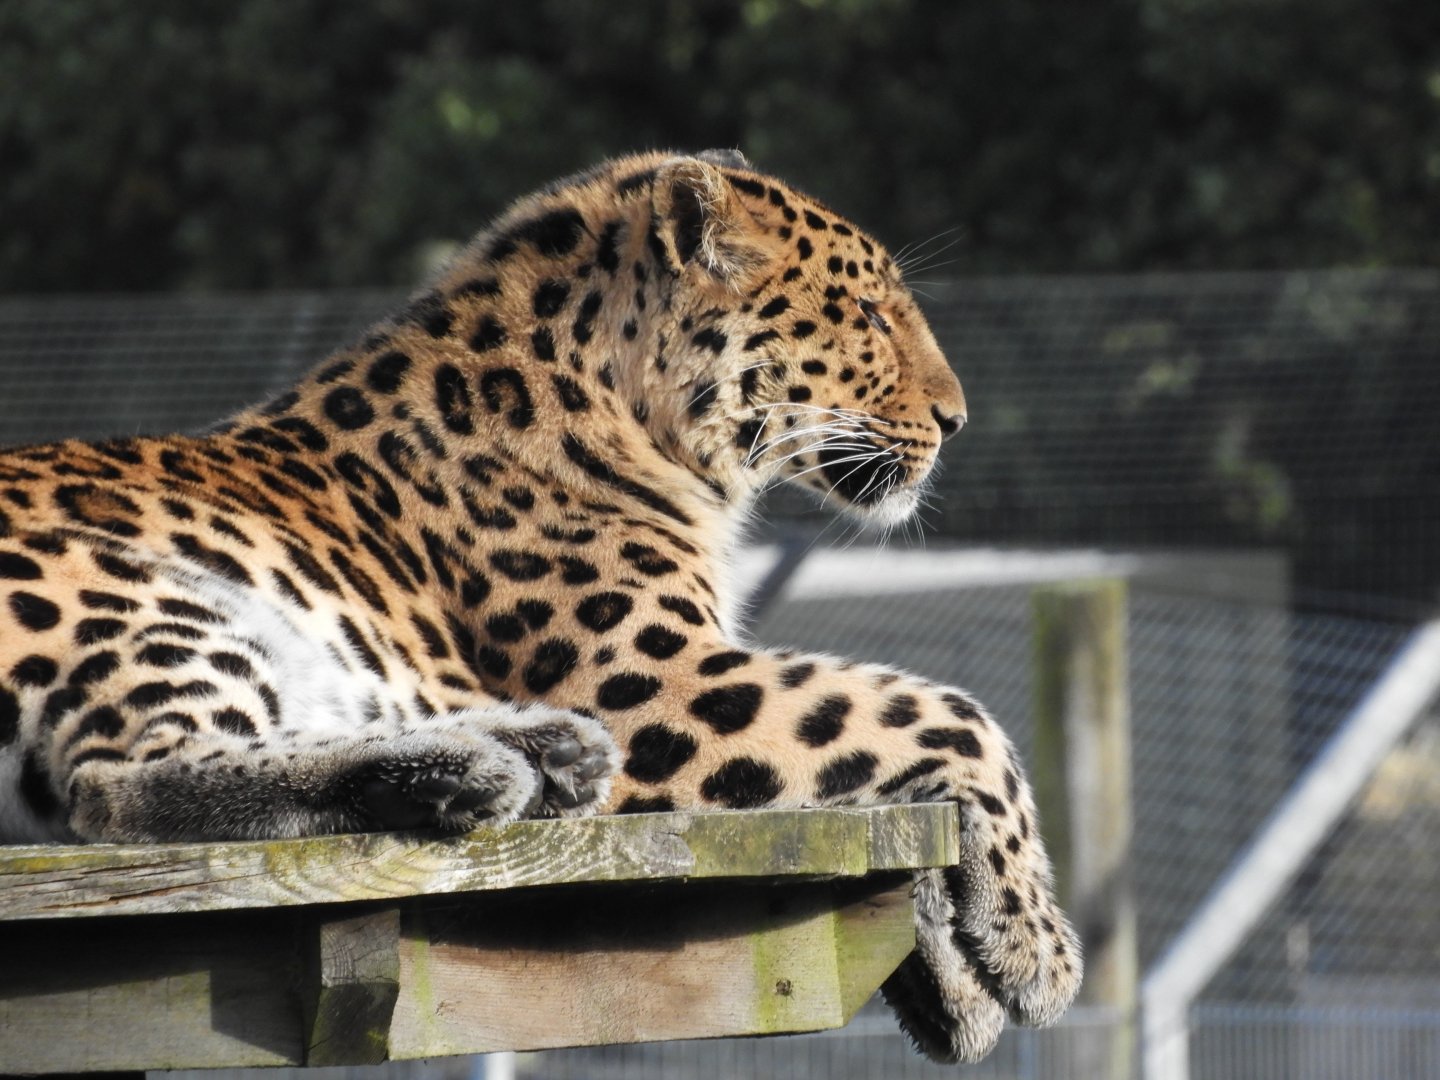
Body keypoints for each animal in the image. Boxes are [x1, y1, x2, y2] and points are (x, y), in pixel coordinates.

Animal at [0, 149, 1080, 1063]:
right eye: (864, 312)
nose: (956, 419)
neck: (631, 414)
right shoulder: (656, 683)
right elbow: (947, 714)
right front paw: (1038, 948)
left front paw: (959, 983)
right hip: (137, 591)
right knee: (118, 789)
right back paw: (476, 769)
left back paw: (532, 752)